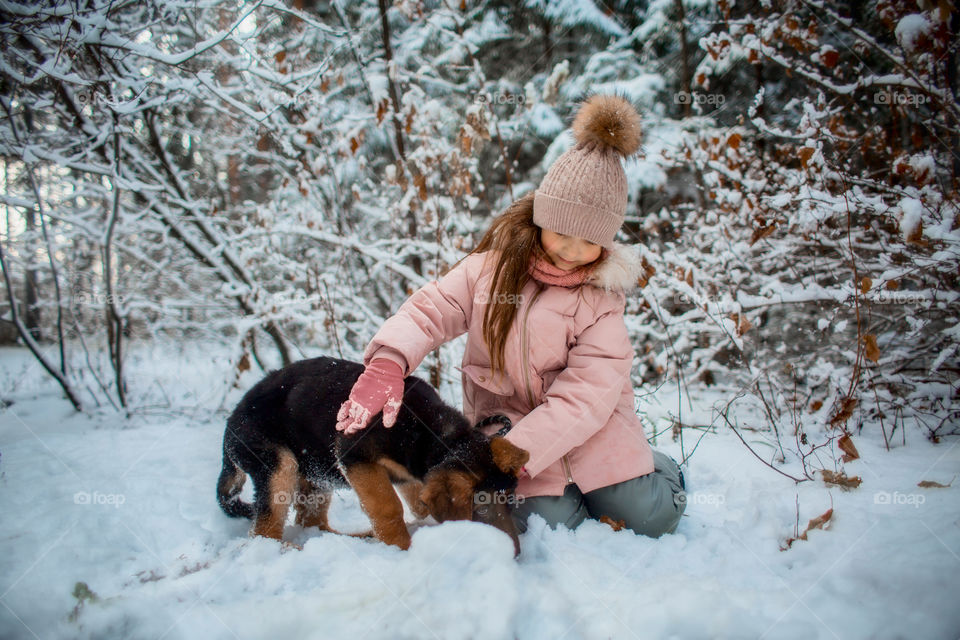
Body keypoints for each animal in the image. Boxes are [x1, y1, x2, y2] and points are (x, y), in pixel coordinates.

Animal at [217, 358, 528, 552]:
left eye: (511, 502)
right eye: (481, 507)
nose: (515, 554)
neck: (431, 432)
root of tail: (230, 424)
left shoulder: (408, 474)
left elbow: (419, 504)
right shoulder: (354, 456)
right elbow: (388, 507)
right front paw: (402, 548)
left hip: (316, 473)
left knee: (311, 522)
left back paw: (354, 538)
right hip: (278, 466)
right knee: (262, 530)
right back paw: (287, 549)